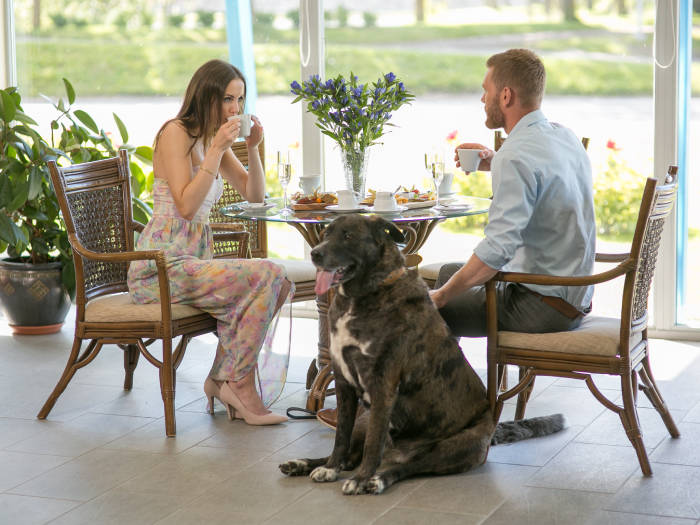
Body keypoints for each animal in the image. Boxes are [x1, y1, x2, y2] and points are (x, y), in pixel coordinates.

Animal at [279, 214, 564, 495]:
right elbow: (341, 437)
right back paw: (303, 464)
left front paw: (360, 480)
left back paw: (377, 479)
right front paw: (330, 468)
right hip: (364, 418)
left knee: (408, 466)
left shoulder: (383, 385)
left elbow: (373, 443)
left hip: (458, 445)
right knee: (352, 453)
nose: (315, 254)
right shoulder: (343, 383)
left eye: (348, 236)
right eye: (326, 234)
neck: (366, 294)